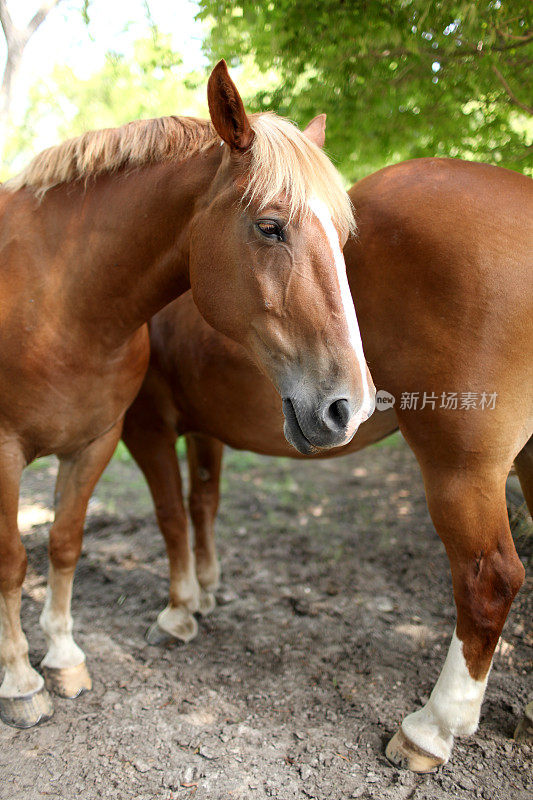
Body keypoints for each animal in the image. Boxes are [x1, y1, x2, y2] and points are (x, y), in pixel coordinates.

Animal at [0, 64, 374, 732]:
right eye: (269, 226)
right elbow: (16, 559)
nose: (348, 408)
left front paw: (65, 656)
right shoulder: (15, 449)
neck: (59, 306)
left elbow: (65, 543)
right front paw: (19, 680)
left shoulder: (96, 443)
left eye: (342, 235)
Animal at [121, 159, 532, 772]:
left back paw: (432, 728)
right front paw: (208, 588)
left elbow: (172, 516)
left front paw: (180, 610)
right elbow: (203, 504)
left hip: (461, 470)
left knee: (490, 580)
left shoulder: (145, 426)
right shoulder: (203, 429)